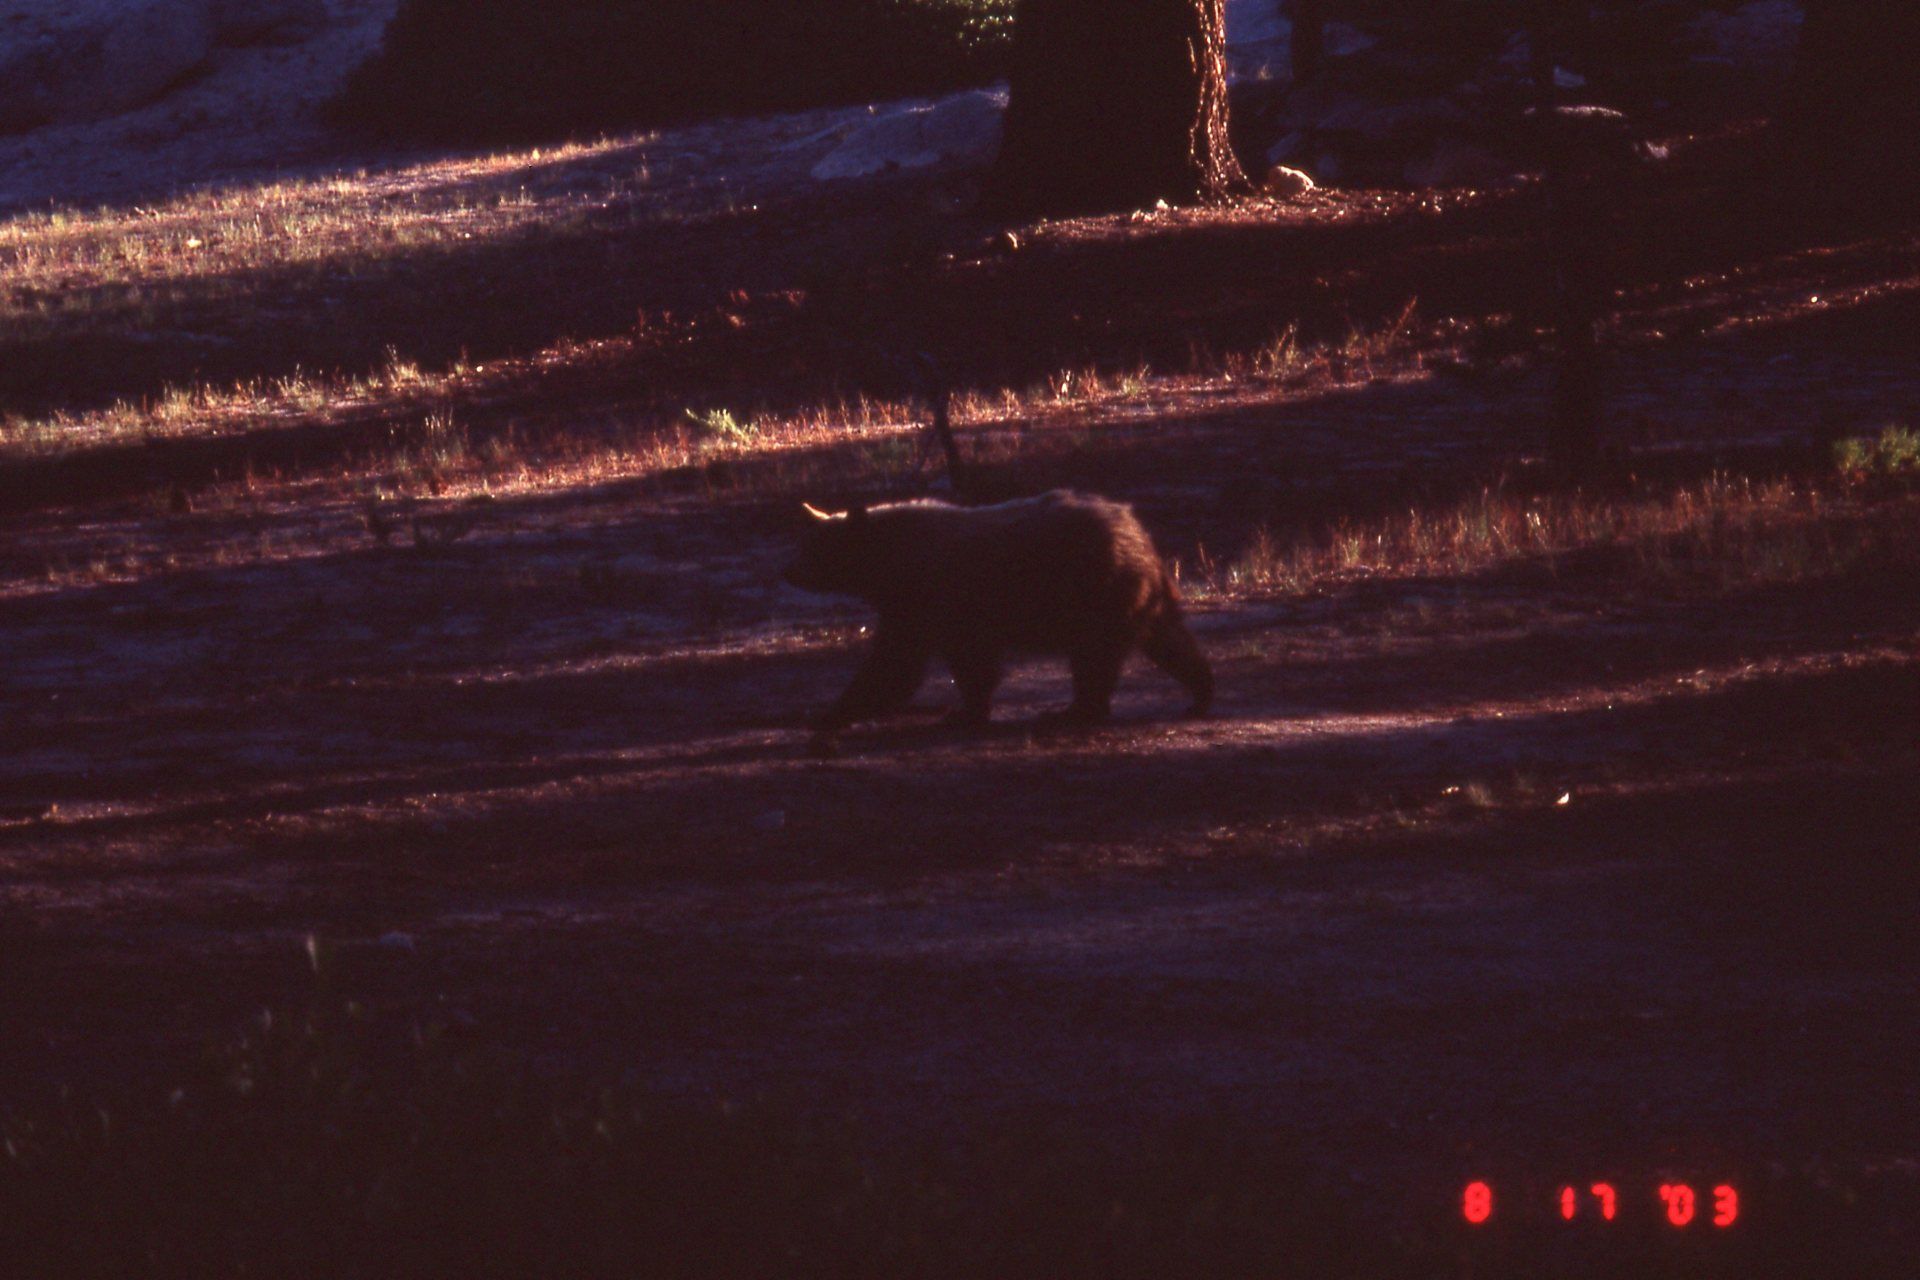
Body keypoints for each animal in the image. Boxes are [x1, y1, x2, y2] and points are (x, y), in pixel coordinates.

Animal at [782, 490, 1213, 734]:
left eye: (813, 549)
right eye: (804, 543)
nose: (788, 570)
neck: (889, 561)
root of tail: (1139, 532)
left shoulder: (926, 598)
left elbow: (898, 665)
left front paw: (829, 718)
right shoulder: (938, 610)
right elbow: (964, 663)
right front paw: (968, 711)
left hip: (1095, 589)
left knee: (1095, 656)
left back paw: (1076, 710)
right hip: (1132, 595)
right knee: (1169, 640)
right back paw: (1200, 692)